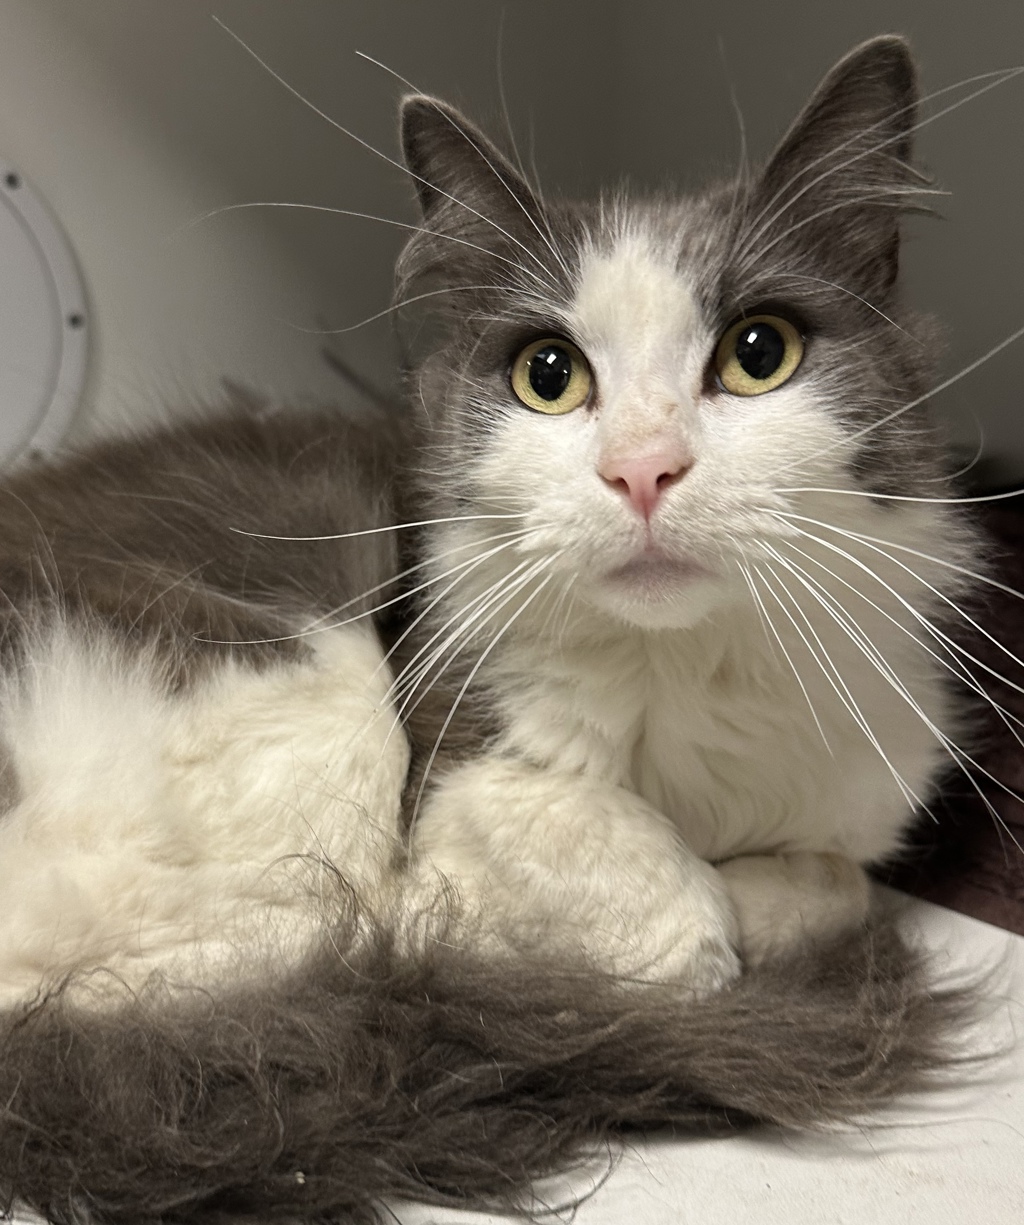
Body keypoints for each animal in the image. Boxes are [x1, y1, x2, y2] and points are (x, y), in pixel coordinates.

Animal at [0, 33, 995, 1225]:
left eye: (760, 353)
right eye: (548, 376)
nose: (643, 471)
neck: (687, 676)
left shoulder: (861, 781)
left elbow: (837, 879)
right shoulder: (451, 773)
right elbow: (667, 909)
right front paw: (694, 927)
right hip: (322, 683)